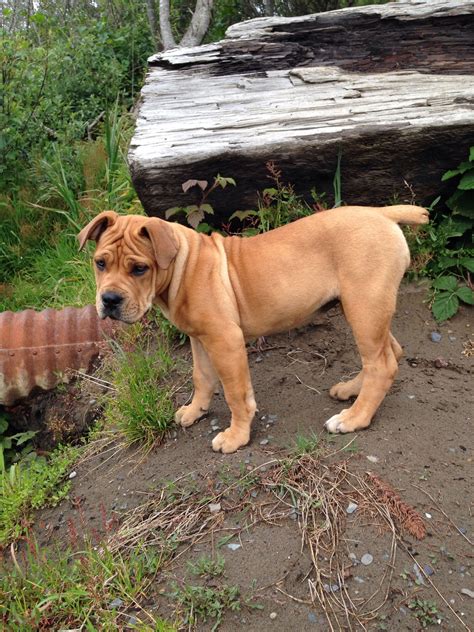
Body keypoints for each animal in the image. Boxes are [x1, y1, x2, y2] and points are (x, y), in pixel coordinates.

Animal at [78, 205, 430, 452]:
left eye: (140, 269)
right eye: (100, 263)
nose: (109, 300)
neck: (183, 265)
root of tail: (382, 213)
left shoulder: (225, 341)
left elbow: (236, 394)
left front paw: (236, 436)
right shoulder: (200, 339)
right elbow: (201, 377)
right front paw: (195, 410)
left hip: (363, 307)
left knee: (381, 364)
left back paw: (354, 418)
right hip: (363, 309)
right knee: (388, 353)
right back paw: (350, 391)